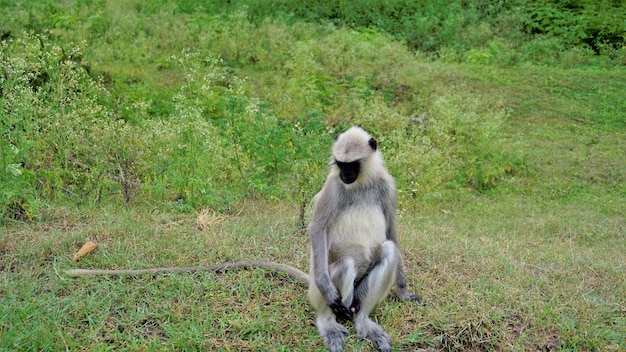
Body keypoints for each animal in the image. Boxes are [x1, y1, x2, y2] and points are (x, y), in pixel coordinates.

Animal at [304, 126, 416, 352]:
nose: (345, 175)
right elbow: (318, 227)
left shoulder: (388, 185)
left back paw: (363, 322)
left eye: (352, 165)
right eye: (340, 164)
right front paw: (328, 289)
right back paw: (329, 324)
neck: (361, 183)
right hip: (317, 293)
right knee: (346, 265)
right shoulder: (333, 184)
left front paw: (403, 291)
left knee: (389, 251)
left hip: (358, 293)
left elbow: (391, 231)